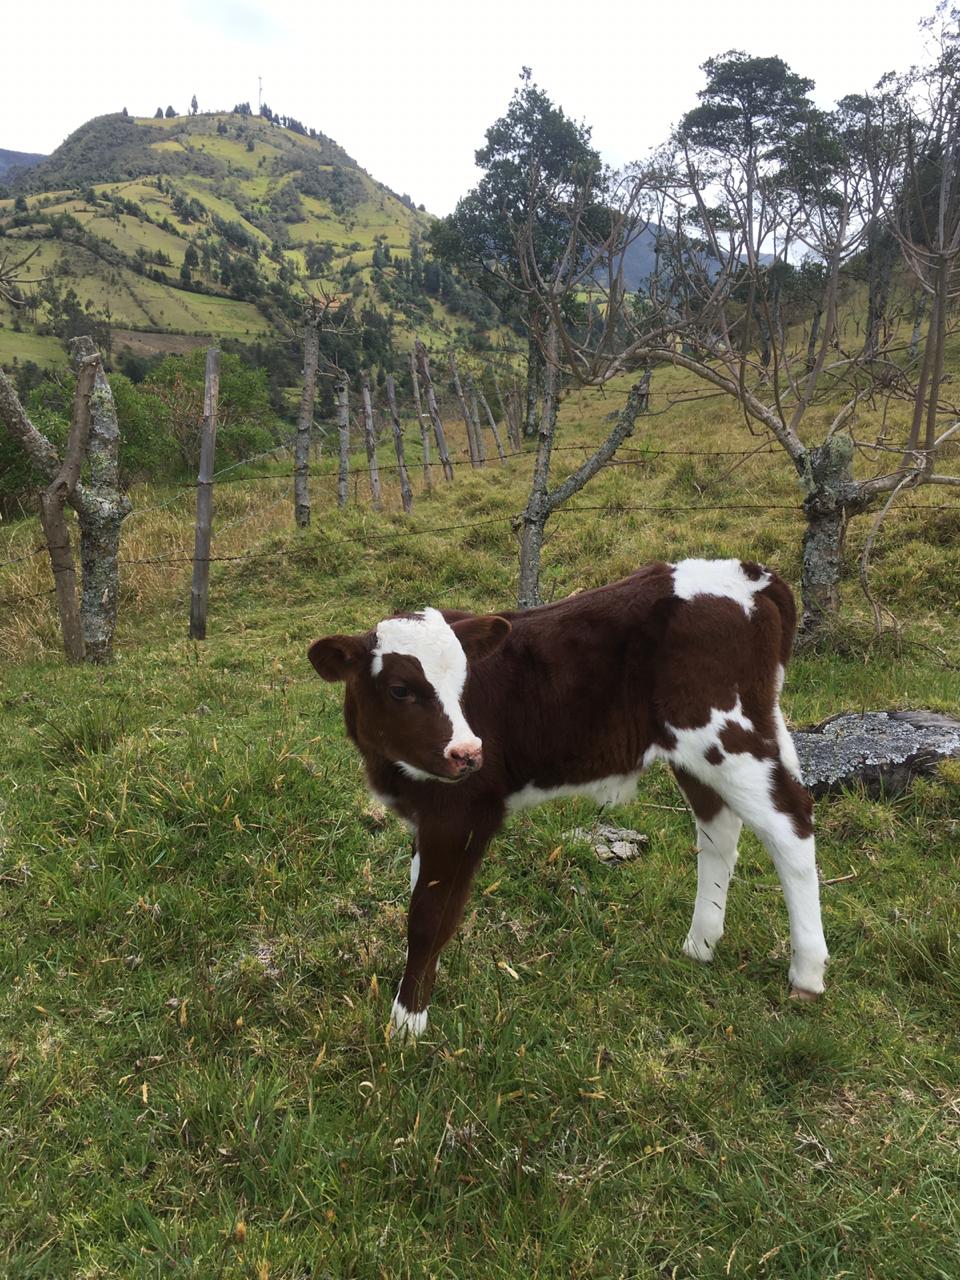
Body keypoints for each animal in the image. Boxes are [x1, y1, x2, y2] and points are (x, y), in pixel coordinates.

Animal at [312, 560, 829, 1039]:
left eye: (463, 682)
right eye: (399, 689)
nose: (468, 753)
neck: (391, 766)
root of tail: (750, 575)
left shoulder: (465, 811)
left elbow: (429, 915)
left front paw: (406, 1024)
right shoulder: (427, 815)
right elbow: (421, 891)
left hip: (728, 733)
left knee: (790, 824)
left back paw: (806, 973)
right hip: (694, 750)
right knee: (719, 828)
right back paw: (700, 944)